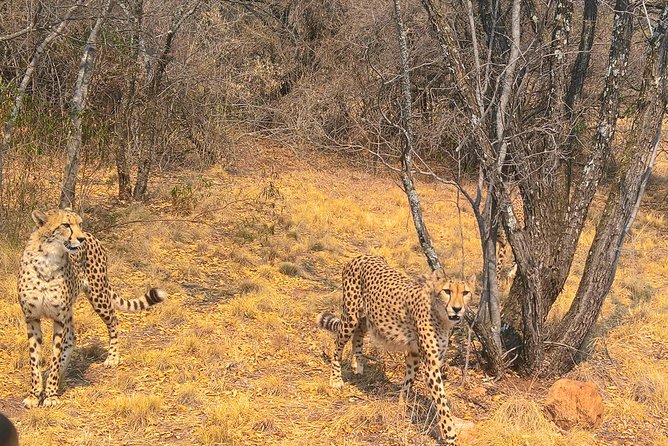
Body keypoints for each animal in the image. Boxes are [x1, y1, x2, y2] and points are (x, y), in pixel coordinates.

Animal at [18, 208, 167, 408]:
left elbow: (55, 355)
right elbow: (34, 360)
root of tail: (93, 236)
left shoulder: (58, 318)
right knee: (71, 338)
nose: (80, 238)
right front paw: (35, 394)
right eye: (66, 225)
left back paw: (112, 358)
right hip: (71, 309)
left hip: (97, 294)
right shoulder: (32, 318)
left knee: (114, 320)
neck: (48, 260)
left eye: (79, 223)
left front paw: (50, 395)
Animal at [316, 255, 475, 445]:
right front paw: (449, 431)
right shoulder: (431, 366)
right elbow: (441, 400)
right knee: (338, 344)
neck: (441, 316)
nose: (457, 309)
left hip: (366, 318)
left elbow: (409, 381)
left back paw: (358, 365)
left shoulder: (414, 353)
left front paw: (402, 403)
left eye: (465, 293)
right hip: (351, 315)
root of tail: (359, 256)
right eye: (447, 291)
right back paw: (336, 379)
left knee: (358, 336)